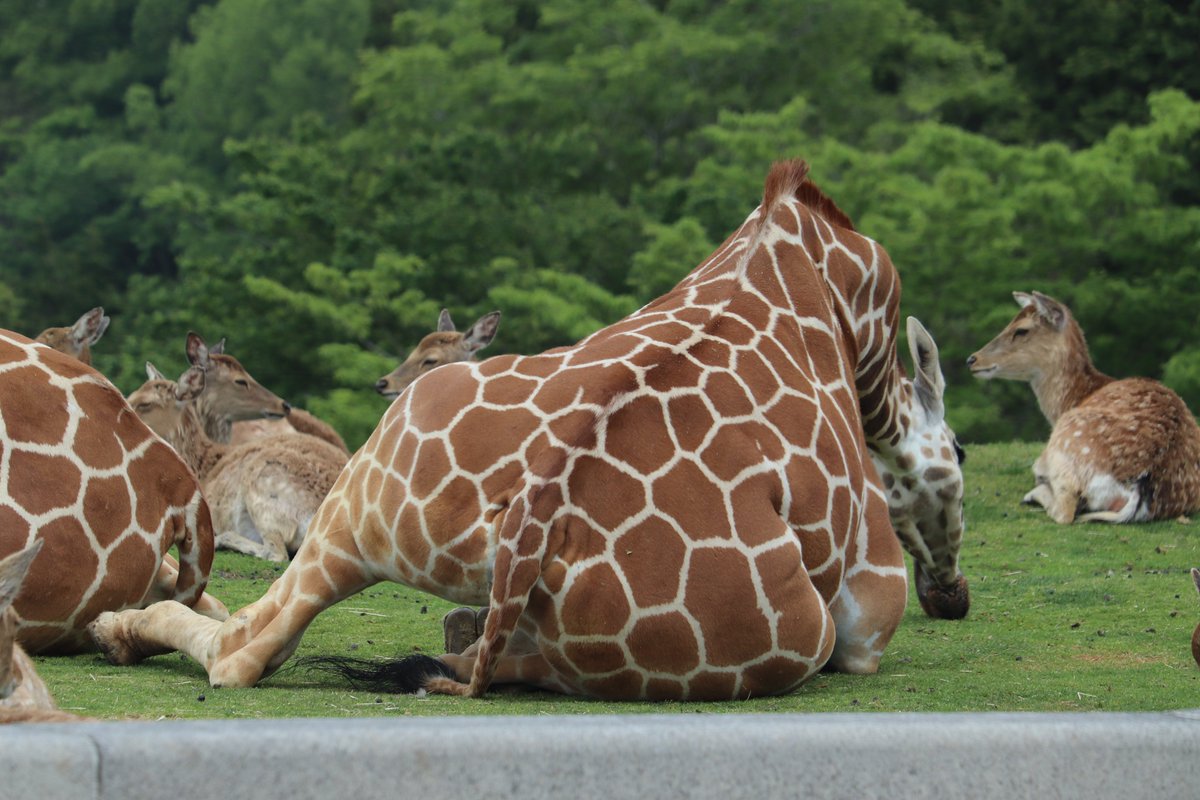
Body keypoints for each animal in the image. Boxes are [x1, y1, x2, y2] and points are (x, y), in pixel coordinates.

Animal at [964, 291, 1200, 522]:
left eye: (1021, 330)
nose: (972, 359)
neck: (1073, 399)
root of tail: (1140, 486)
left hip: (1068, 440)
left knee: (1065, 511)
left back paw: (1034, 494)